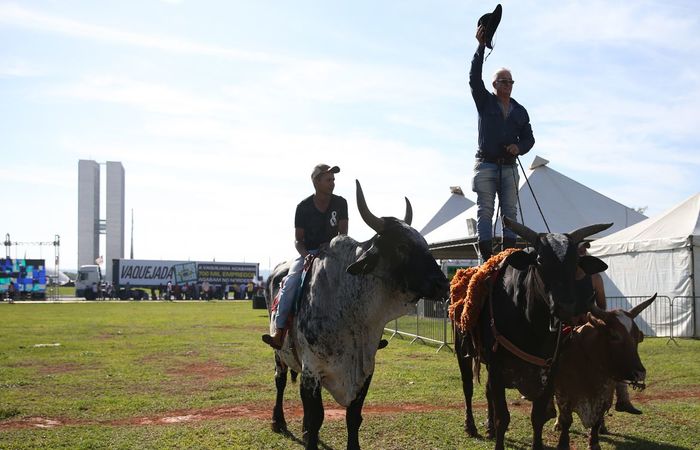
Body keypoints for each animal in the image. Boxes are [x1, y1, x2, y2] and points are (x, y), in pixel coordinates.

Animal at [262, 180, 448, 450]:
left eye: (424, 243)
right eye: (402, 246)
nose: (443, 284)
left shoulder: (365, 369)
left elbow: (353, 417)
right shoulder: (311, 371)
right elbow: (315, 419)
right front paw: (308, 435)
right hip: (279, 352)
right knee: (280, 380)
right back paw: (278, 421)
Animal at [552, 294, 656, 450]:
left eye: (637, 336)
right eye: (613, 335)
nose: (640, 373)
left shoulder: (605, 396)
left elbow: (596, 420)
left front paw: (594, 443)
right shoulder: (563, 395)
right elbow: (566, 420)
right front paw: (563, 442)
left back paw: (603, 427)